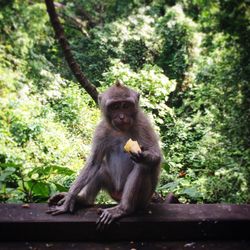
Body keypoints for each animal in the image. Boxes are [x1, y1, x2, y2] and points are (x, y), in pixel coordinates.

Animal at [47, 81, 162, 229]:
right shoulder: (101, 130)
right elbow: (94, 162)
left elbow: (156, 156)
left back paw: (124, 209)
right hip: (112, 187)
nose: (122, 117)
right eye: (115, 107)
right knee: (100, 168)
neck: (121, 130)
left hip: (143, 199)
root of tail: (118, 195)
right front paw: (69, 198)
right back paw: (83, 200)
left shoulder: (144, 124)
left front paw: (143, 156)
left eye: (126, 105)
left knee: (142, 167)